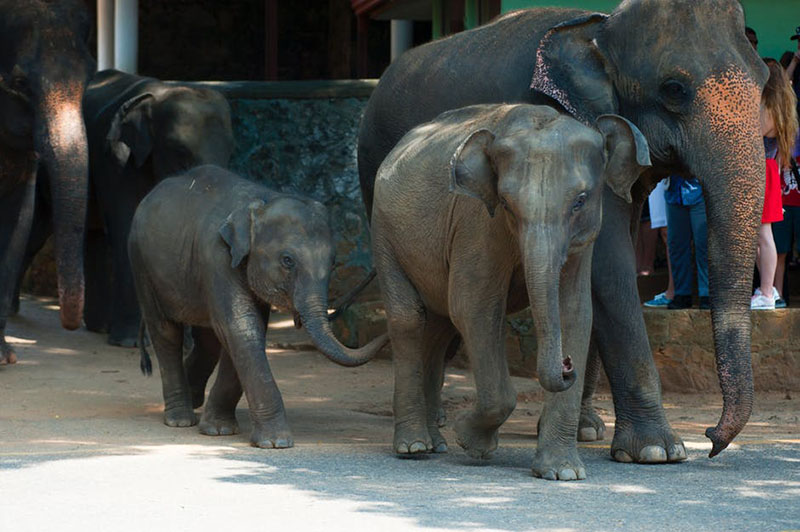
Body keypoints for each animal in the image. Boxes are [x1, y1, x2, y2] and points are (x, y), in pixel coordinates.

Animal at [130, 166, 388, 448]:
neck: (263, 200)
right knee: (165, 332)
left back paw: (194, 398)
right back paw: (180, 418)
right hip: (142, 264)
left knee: (207, 339)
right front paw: (276, 443)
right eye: (287, 261)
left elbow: (245, 330)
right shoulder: (216, 256)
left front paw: (219, 429)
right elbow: (241, 327)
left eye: (332, 263)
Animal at [374, 103, 648, 478]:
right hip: (384, 233)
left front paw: (562, 473)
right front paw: (471, 441)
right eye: (505, 202)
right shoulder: (476, 222)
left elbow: (575, 311)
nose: (567, 365)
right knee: (410, 319)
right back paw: (414, 447)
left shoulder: (584, 240)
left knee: (438, 328)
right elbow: (473, 305)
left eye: (580, 201)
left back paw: (435, 444)